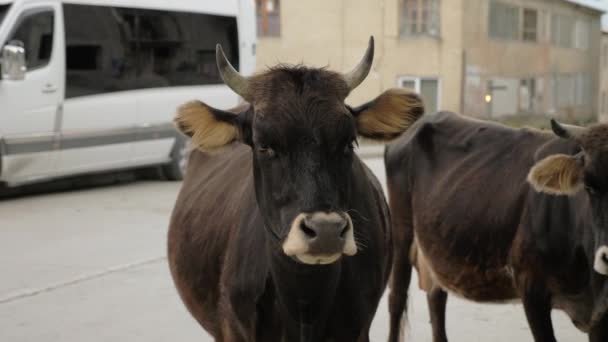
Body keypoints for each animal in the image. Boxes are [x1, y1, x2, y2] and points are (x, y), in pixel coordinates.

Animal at [384, 112, 608, 342]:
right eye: (589, 185)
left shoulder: (600, 318)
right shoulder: (531, 287)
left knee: (436, 298)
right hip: (401, 233)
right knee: (397, 298)